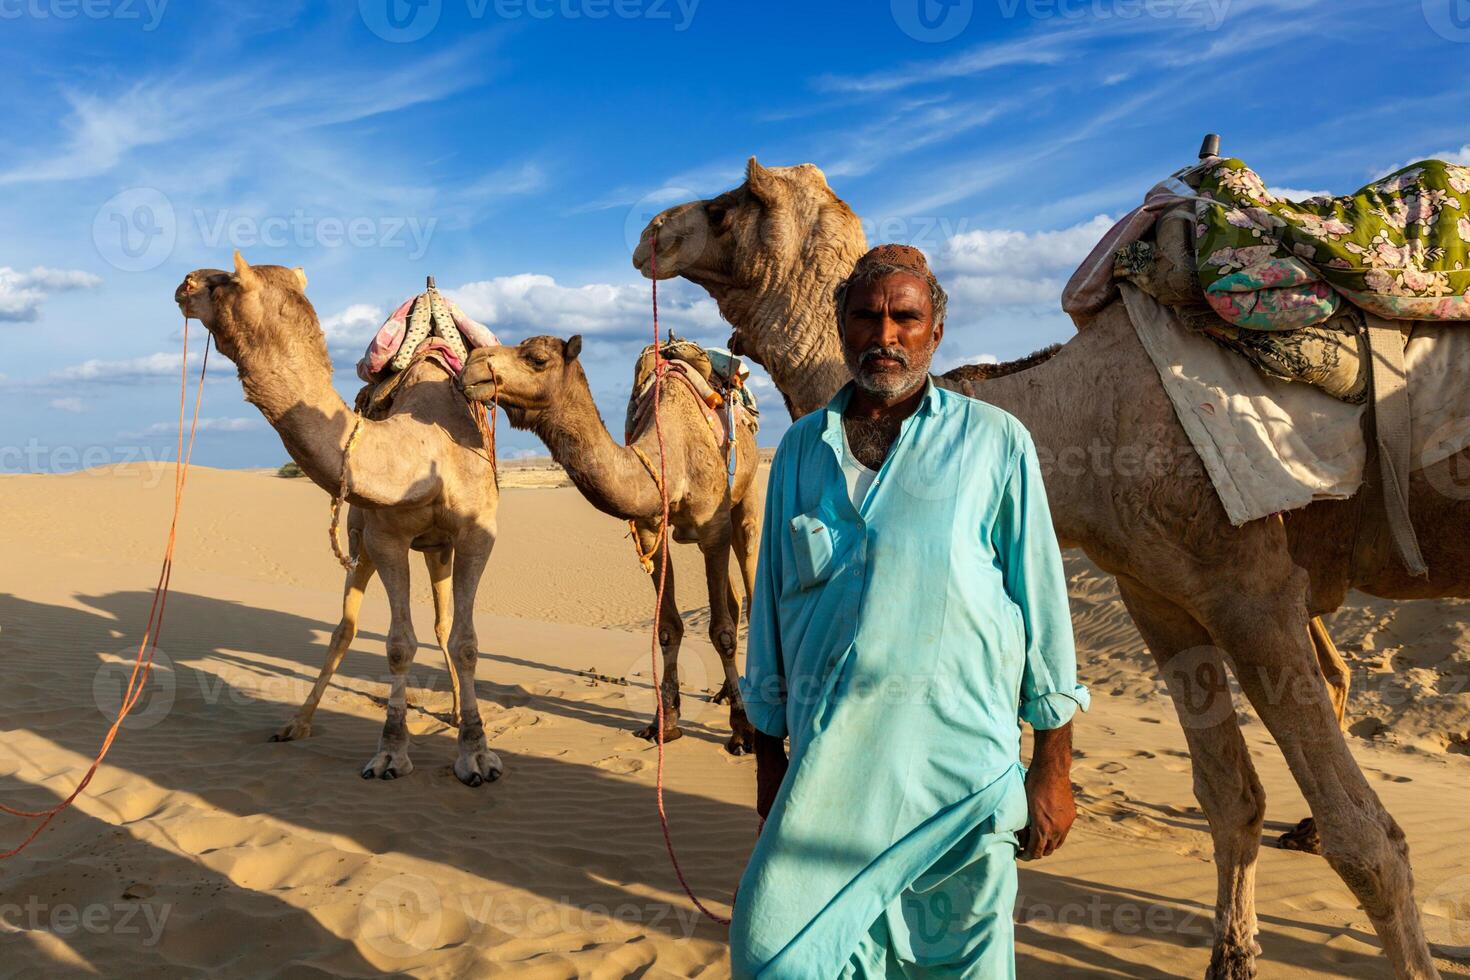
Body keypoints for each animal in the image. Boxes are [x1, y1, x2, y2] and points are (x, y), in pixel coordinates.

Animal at [173, 255, 499, 787]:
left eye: (225, 283)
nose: (186, 282)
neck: (422, 450)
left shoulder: (476, 533)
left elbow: (466, 642)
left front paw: (475, 753)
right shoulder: (385, 537)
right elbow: (397, 645)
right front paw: (390, 752)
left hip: (438, 548)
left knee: (443, 624)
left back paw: (452, 710)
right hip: (361, 540)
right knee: (345, 629)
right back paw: (297, 723)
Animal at [458, 333, 758, 758]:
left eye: (537, 358)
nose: (472, 364)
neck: (673, 457)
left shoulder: (713, 528)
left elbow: (724, 632)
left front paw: (743, 731)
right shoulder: (649, 530)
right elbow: (669, 628)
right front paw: (664, 723)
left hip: (745, 501)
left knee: (750, 577)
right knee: (733, 599)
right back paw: (721, 694)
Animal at [635, 157, 1458, 975]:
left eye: (727, 205)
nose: (650, 232)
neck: (1085, 417)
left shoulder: (1250, 587)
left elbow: (1369, 841)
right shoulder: (1157, 592)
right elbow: (1230, 797)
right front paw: (1230, 957)